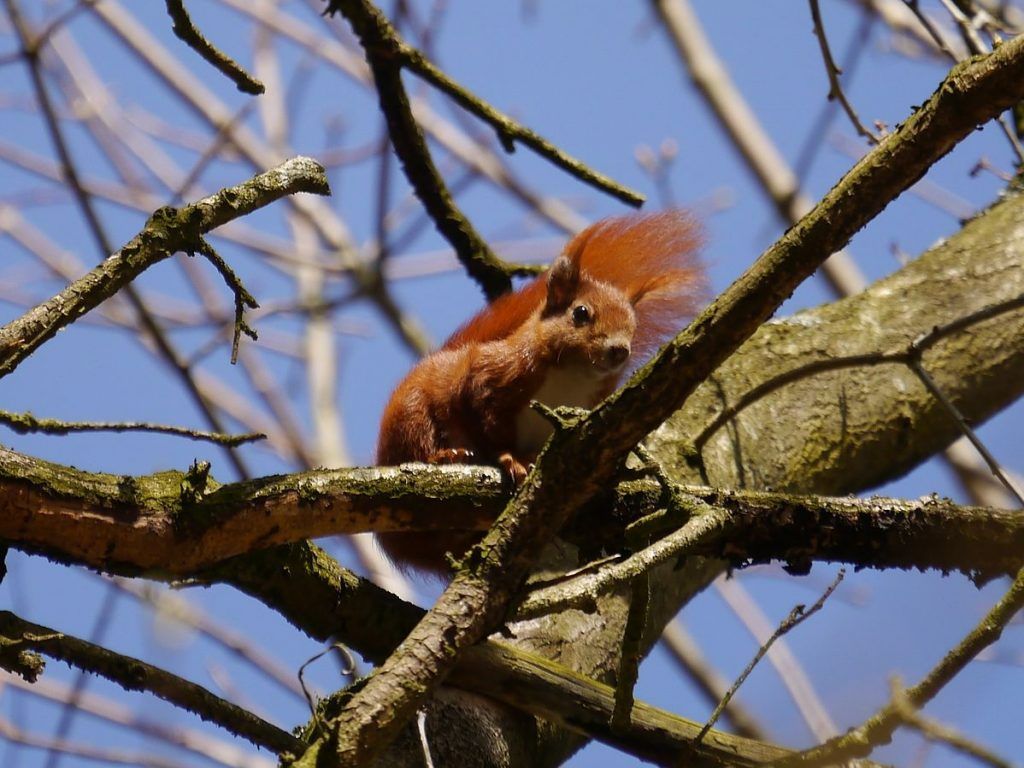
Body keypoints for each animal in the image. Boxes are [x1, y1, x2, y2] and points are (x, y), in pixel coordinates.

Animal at [376, 210, 706, 574]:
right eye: (580, 313)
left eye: (633, 326)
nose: (620, 350)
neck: (571, 378)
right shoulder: (490, 378)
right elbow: (486, 422)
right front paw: (510, 458)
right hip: (411, 414)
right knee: (417, 439)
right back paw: (445, 456)